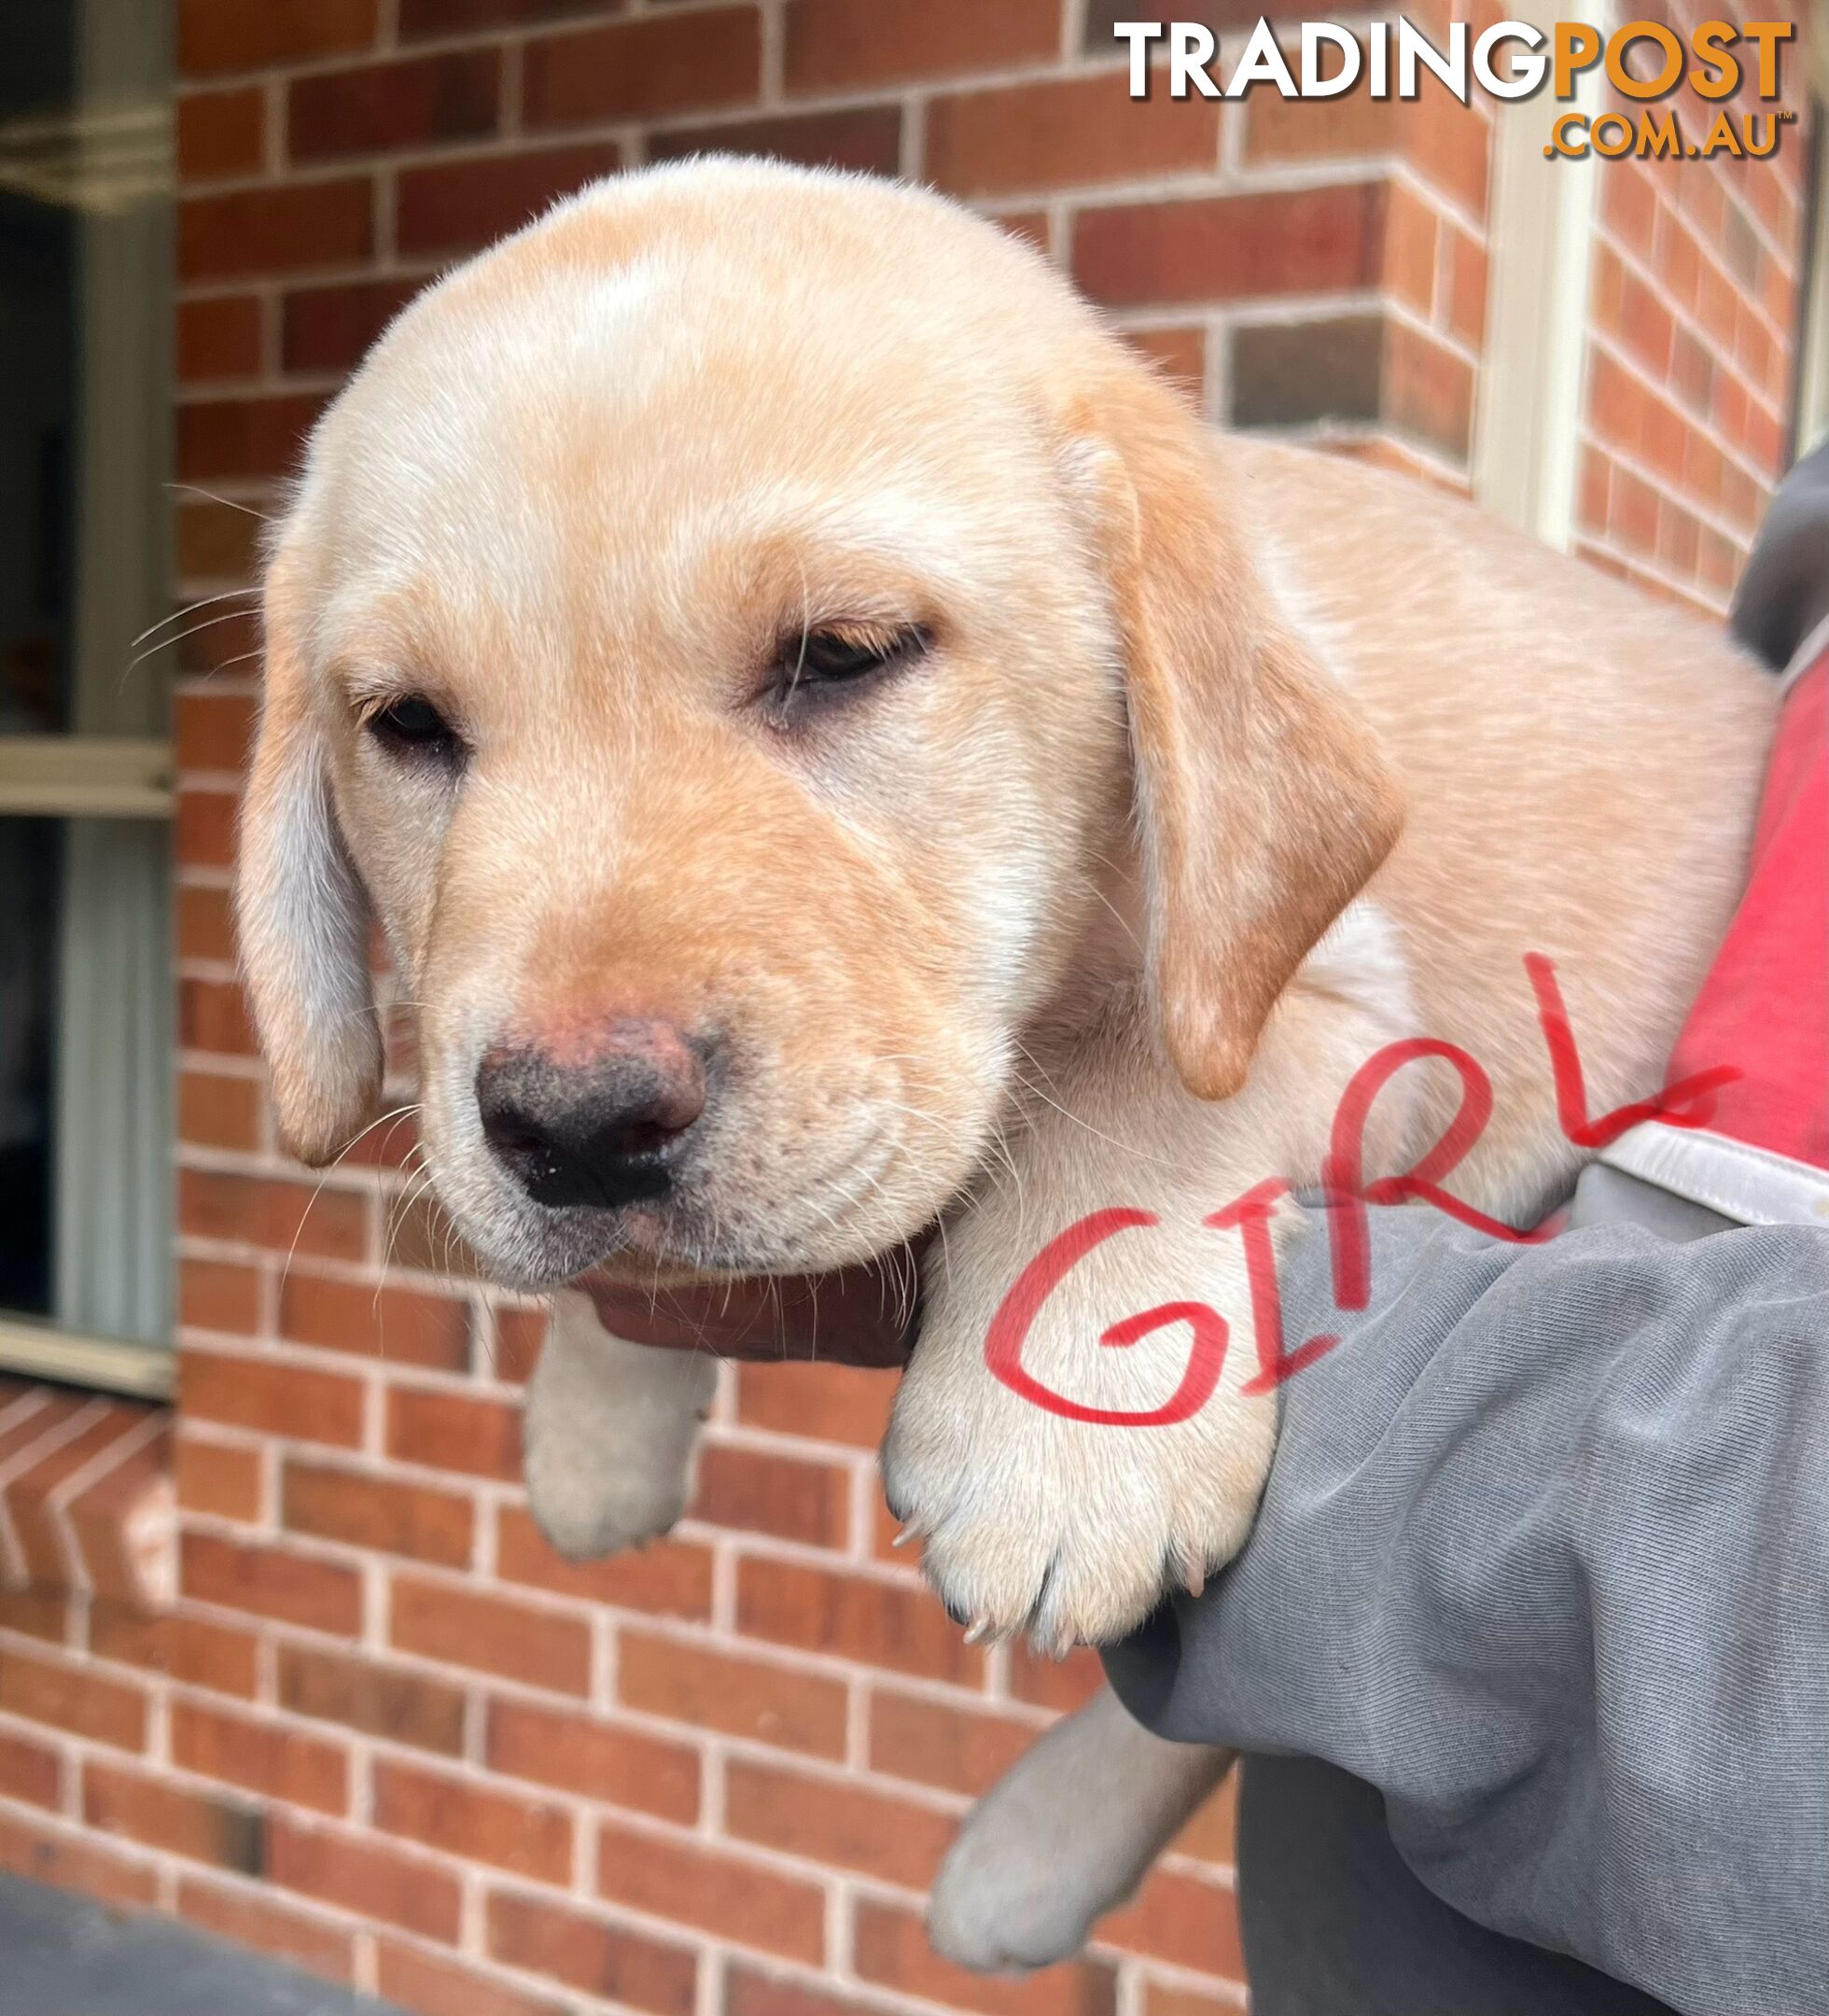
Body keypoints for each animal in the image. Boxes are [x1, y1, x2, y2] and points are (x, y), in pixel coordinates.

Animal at [235, 165, 1782, 1975]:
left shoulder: (1353, 1007)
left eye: (843, 654)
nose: (578, 1129)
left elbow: (1140, 1095)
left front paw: (1062, 1437)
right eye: (407, 726)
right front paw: (597, 1431)